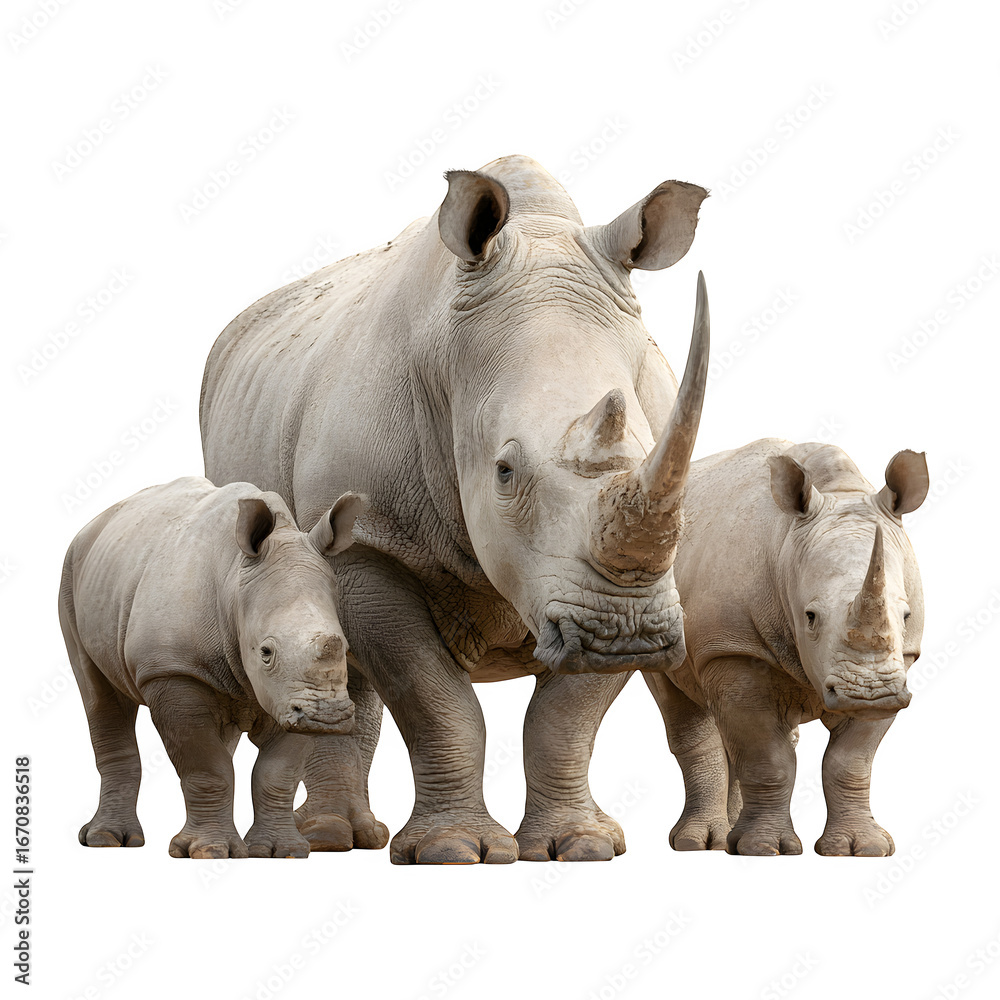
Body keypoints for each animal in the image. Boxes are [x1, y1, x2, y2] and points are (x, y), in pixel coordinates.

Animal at [59, 476, 364, 858]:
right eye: (266, 652)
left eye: (345, 647)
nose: (330, 717)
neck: (234, 583)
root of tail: (93, 524)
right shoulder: (173, 670)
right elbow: (207, 767)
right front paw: (208, 851)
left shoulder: (292, 696)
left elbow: (277, 773)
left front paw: (281, 851)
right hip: (71, 573)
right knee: (100, 697)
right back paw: (107, 840)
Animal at [200, 154, 710, 864]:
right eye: (505, 471)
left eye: (658, 453)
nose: (624, 634)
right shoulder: (372, 543)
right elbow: (435, 700)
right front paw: (454, 850)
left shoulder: (637, 579)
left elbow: (565, 718)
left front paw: (580, 846)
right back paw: (333, 840)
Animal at [644, 439, 928, 855]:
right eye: (810, 616)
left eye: (906, 615)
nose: (870, 694)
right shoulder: (734, 648)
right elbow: (767, 759)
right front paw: (763, 848)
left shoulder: (899, 661)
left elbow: (851, 762)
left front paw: (861, 849)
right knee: (680, 701)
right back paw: (701, 842)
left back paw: (726, 837)